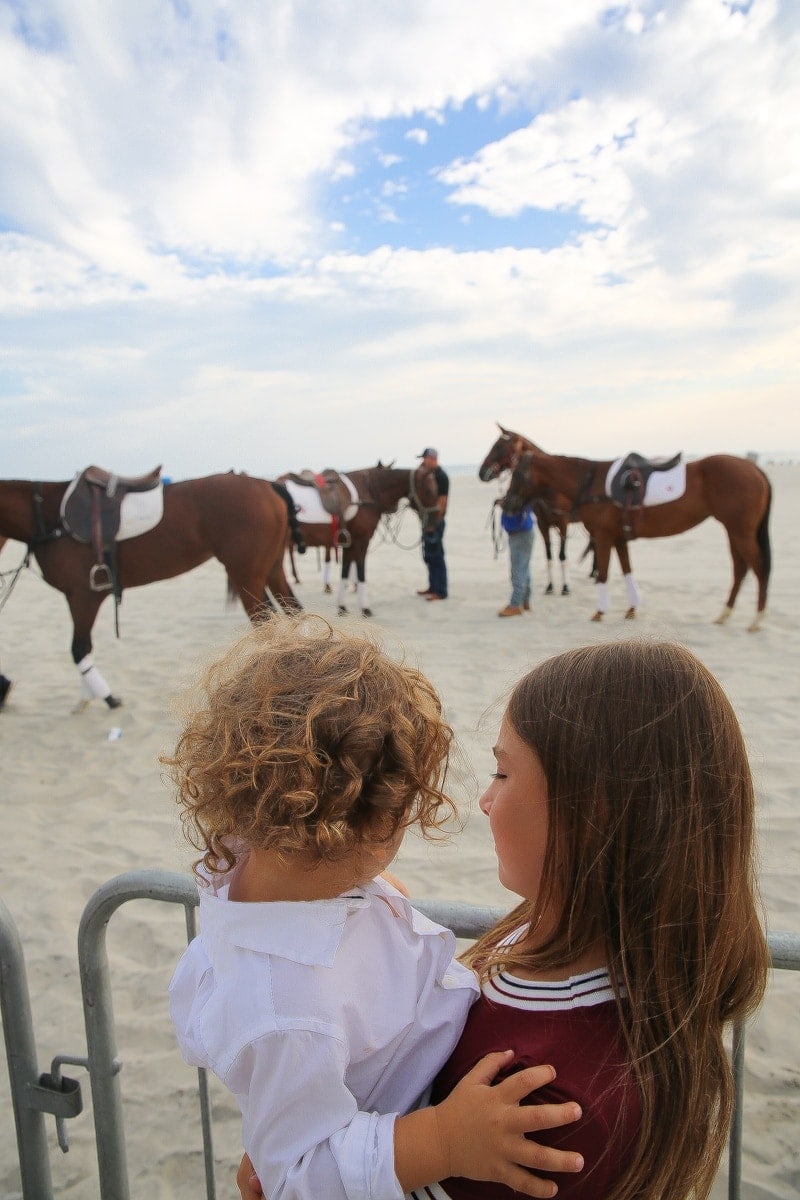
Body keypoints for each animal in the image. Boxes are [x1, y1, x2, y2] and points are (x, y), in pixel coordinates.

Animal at [0, 472, 299, 705]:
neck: (47, 515)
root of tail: (267, 484)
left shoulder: (82, 596)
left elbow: (79, 649)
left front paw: (108, 698)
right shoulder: (79, 598)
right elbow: (84, 650)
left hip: (246, 576)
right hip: (271, 571)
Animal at [278, 460, 441, 614]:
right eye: (428, 490)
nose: (436, 519)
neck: (367, 492)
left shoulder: (349, 543)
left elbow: (345, 572)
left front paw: (342, 607)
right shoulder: (362, 541)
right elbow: (361, 571)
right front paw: (365, 608)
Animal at [479, 422, 578, 595]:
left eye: (499, 446)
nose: (482, 472)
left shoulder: (563, 523)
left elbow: (562, 555)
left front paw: (565, 587)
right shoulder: (543, 525)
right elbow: (549, 555)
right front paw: (550, 586)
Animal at [503, 448, 772, 633]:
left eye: (519, 474)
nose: (506, 504)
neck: (590, 483)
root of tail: (754, 468)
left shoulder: (603, 536)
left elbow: (603, 574)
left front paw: (600, 612)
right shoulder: (618, 537)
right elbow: (627, 571)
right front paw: (632, 609)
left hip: (740, 531)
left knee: (758, 568)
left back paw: (756, 619)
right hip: (733, 531)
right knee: (740, 569)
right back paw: (725, 614)